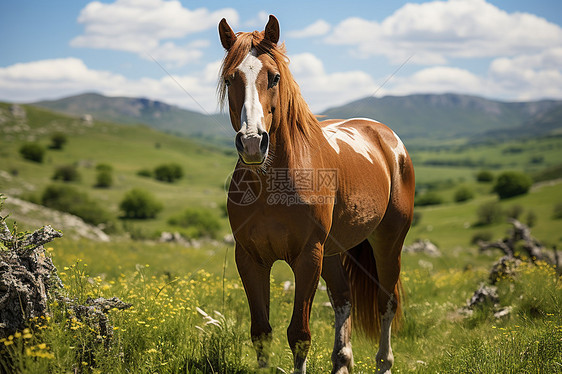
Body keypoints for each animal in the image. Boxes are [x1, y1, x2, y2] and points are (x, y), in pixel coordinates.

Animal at [219, 15, 416, 374]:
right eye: (230, 79)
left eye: (274, 77)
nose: (252, 142)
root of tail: (387, 138)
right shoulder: (250, 258)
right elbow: (261, 332)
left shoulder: (308, 256)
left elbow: (299, 334)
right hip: (334, 251)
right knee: (343, 299)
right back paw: (341, 361)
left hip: (388, 241)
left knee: (386, 301)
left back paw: (384, 362)